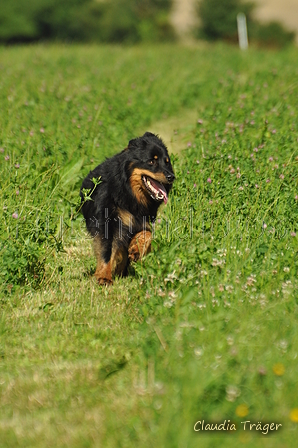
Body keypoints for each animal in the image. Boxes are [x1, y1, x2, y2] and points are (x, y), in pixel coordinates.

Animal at [80, 131, 176, 286]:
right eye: (151, 162)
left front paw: (136, 249)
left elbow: (147, 234)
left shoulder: (142, 220)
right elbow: (106, 252)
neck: (129, 193)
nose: (171, 176)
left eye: (167, 162)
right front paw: (104, 277)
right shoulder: (107, 224)